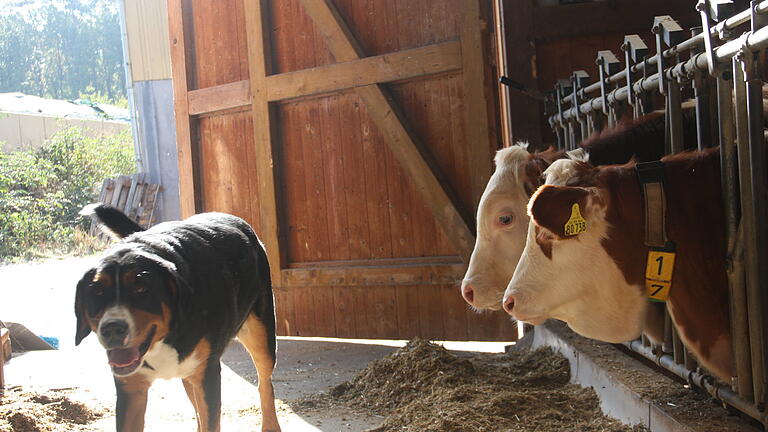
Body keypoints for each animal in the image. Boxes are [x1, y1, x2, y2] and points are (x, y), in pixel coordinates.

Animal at [73, 205, 280, 432]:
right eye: (97, 291)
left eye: (142, 289)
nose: (112, 328)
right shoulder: (131, 388)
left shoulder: (207, 377)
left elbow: (210, 421)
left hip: (261, 338)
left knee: (265, 383)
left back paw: (271, 424)